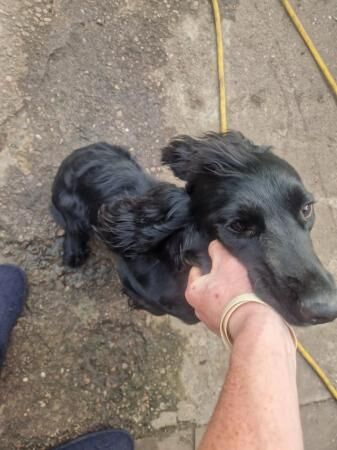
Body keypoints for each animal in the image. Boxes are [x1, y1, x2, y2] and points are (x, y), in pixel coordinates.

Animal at [51, 132, 336, 326]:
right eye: (238, 225)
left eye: (306, 209)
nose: (325, 309)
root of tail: (79, 153)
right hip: (67, 204)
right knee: (71, 226)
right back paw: (74, 252)